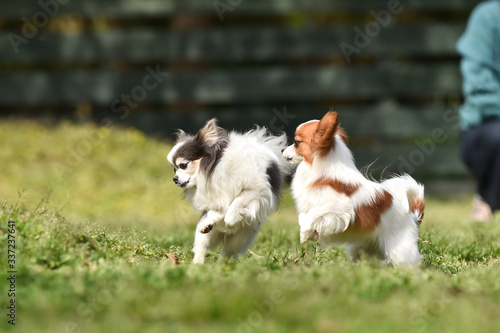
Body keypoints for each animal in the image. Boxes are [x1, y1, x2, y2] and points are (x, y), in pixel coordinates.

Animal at [167, 118, 288, 264]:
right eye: (174, 169)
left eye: (183, 165)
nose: (175, 179)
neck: (216, 168)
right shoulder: (217, 198)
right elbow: (218, 210)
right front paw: (216, 219)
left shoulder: (255, 191)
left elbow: (237, 202)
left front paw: (230, 218)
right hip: (208, 235)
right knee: (202, 245)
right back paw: (198, 263)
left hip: (241, 237)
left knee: (227, 251)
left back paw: (221, 262)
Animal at [284, 110, 424, 266]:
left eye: (296, 142)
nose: (283, 149)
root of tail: (412, 217)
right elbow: (303, 216)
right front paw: (311, 234)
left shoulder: (340, 206)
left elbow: (313, 214)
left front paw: (304, 234)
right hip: (360, 248)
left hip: (400, 252)